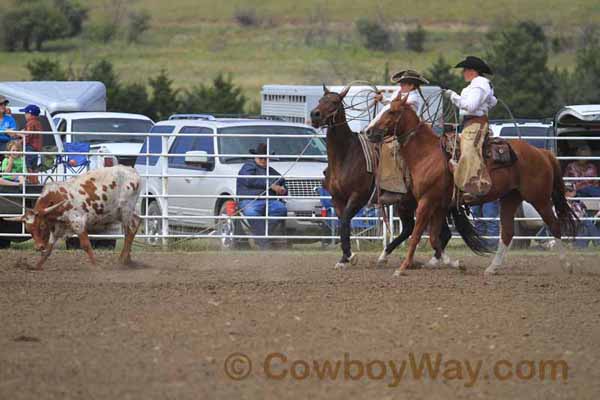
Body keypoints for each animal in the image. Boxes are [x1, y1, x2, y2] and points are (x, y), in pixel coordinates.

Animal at [366, 97, 576, 276]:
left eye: (391, 111)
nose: (368, 131)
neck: (427, 155)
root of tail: (542, 152)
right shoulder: (440, 205)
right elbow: (434, 238)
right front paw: (456, 264)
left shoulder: (426, 202)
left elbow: (417, 234)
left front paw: (403, 267)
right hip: (510, 198)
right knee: (508, 233)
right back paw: (492, 268)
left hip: (539, 198)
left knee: (554, 225)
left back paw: (566, 265)